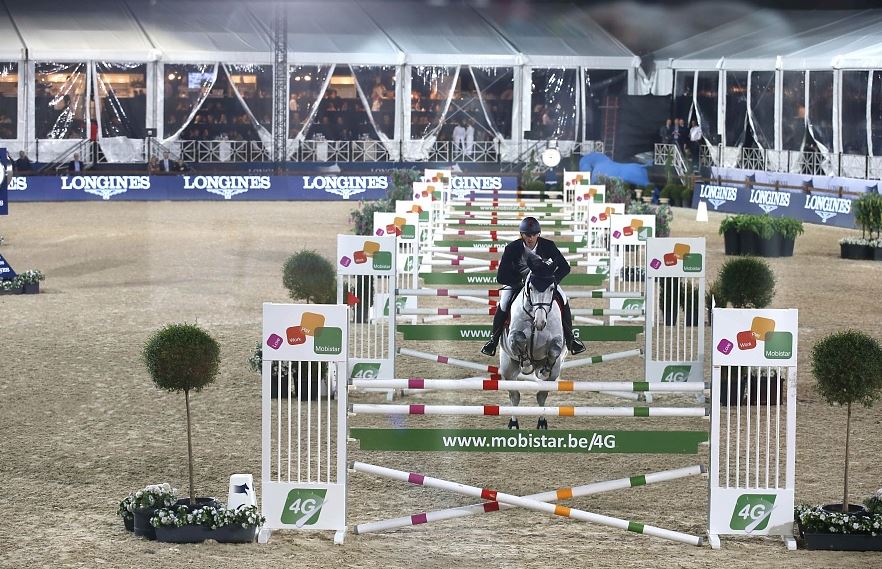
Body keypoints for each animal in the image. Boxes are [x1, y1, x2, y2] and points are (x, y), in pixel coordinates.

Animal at [496, 247, 564, 426]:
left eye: (551, 288)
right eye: (531, 287)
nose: (540, 322)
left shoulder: (557, 340)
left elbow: (554, 350)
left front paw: (544, 371)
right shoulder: (512, 337)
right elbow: (519, 339)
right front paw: (526, 365)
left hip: (554, 373)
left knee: (542, 395)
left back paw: (542, 422)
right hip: (507, 368)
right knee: (514, 396)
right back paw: (514, 423)